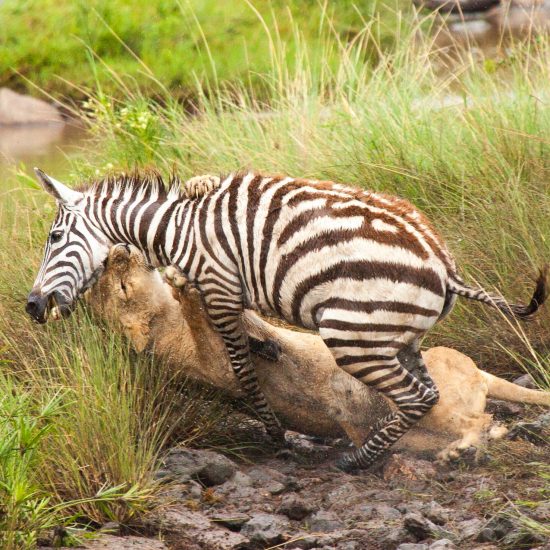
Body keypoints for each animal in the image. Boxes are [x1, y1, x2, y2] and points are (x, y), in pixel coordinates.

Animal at [25, 169, 548, 474]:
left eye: (54, 237)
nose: (31, 306)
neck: (176, 230)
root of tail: (443, 265)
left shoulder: (220, 286)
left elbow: (239, 366)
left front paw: (274, 432)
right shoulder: (223, 294)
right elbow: (246, 336)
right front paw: (269, 353)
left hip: (352, 335)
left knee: (417, 397)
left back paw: (360, 459)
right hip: (401, 339)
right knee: (427, 394)